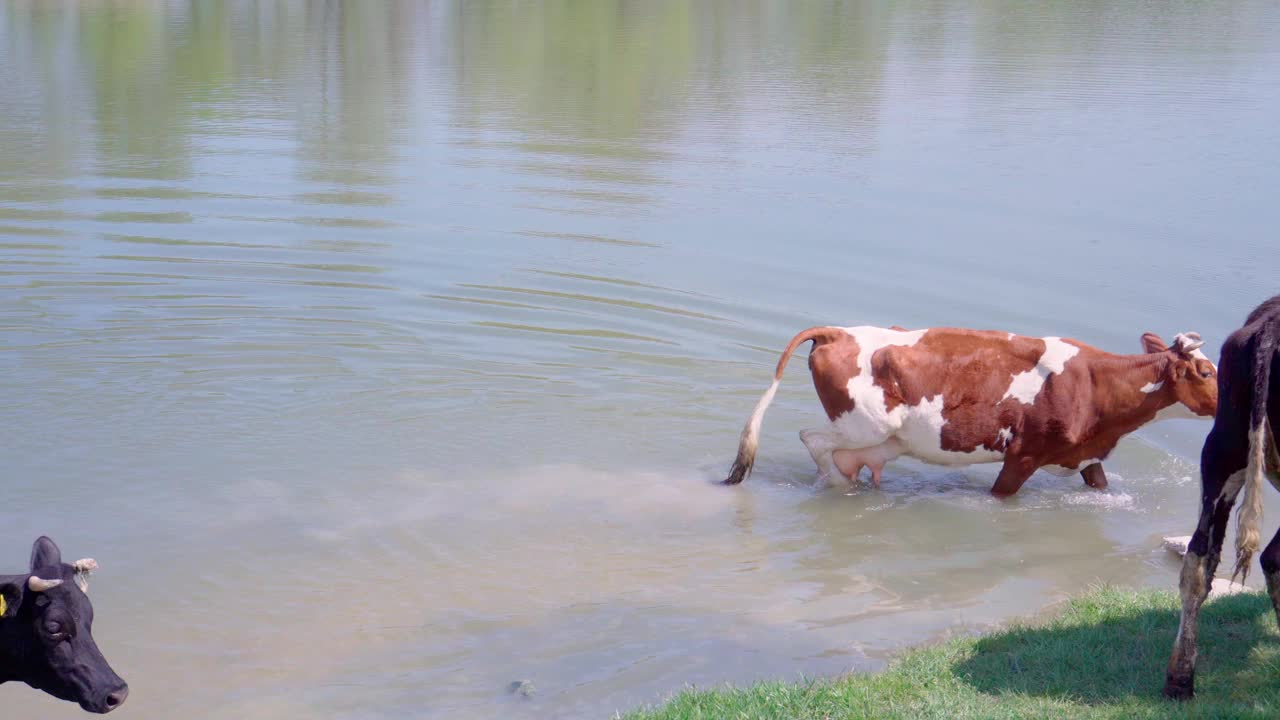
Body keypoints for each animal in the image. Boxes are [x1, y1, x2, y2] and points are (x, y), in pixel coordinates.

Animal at [727, 324, 1213, 491]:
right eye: (1208, 371)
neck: (1093, 382)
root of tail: (837, 331)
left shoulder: (1084, 454)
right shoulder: (1023, 455)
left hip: (872, 438)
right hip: (863, 426)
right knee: (813, 440)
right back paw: (835, 485)